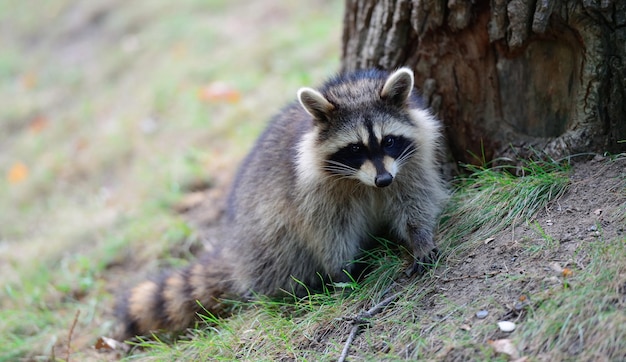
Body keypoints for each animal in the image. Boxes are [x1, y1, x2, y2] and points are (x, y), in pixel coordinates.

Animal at [117, 68, 446, 340]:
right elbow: (328, 231)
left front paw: (420, 238)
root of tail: (235, 250)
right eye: (355, 148)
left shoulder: (410, 163)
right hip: (264, 235)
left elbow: (415, 201)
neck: (362, 181)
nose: (383, 180)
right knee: (282, 252)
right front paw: (342, 269)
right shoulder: (313, 192)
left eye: (388, 140)